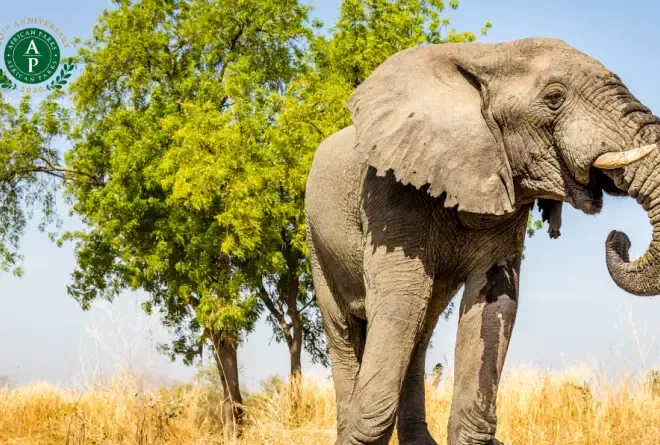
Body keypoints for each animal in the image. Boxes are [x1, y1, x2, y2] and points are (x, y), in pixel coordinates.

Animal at [305, 37, 660, 445]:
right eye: (554, 98)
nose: (619, 237)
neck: (488, 54)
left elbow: (494, 301)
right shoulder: (390, 190)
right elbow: (400, 297)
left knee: (419, 330)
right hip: (315, 239)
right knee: (348, 328)